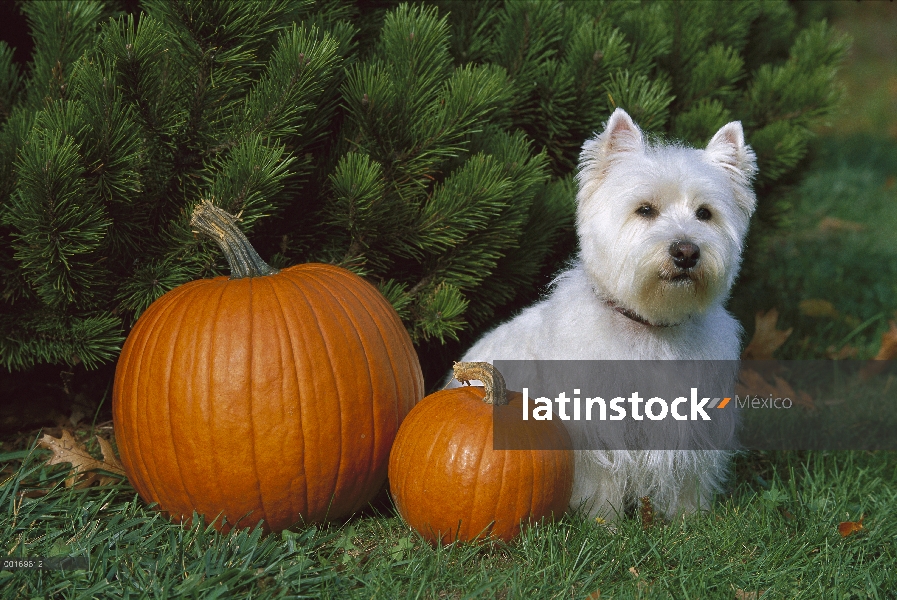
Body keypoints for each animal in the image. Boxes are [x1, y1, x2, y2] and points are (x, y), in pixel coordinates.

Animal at [456, 110, 756, 524]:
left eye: (705, 213)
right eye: (645, 209)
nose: (686, 252)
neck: (648, 327)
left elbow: (687, 475)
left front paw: (689, 518)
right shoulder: (596, 423)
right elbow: (603, 477)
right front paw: (605, 522)